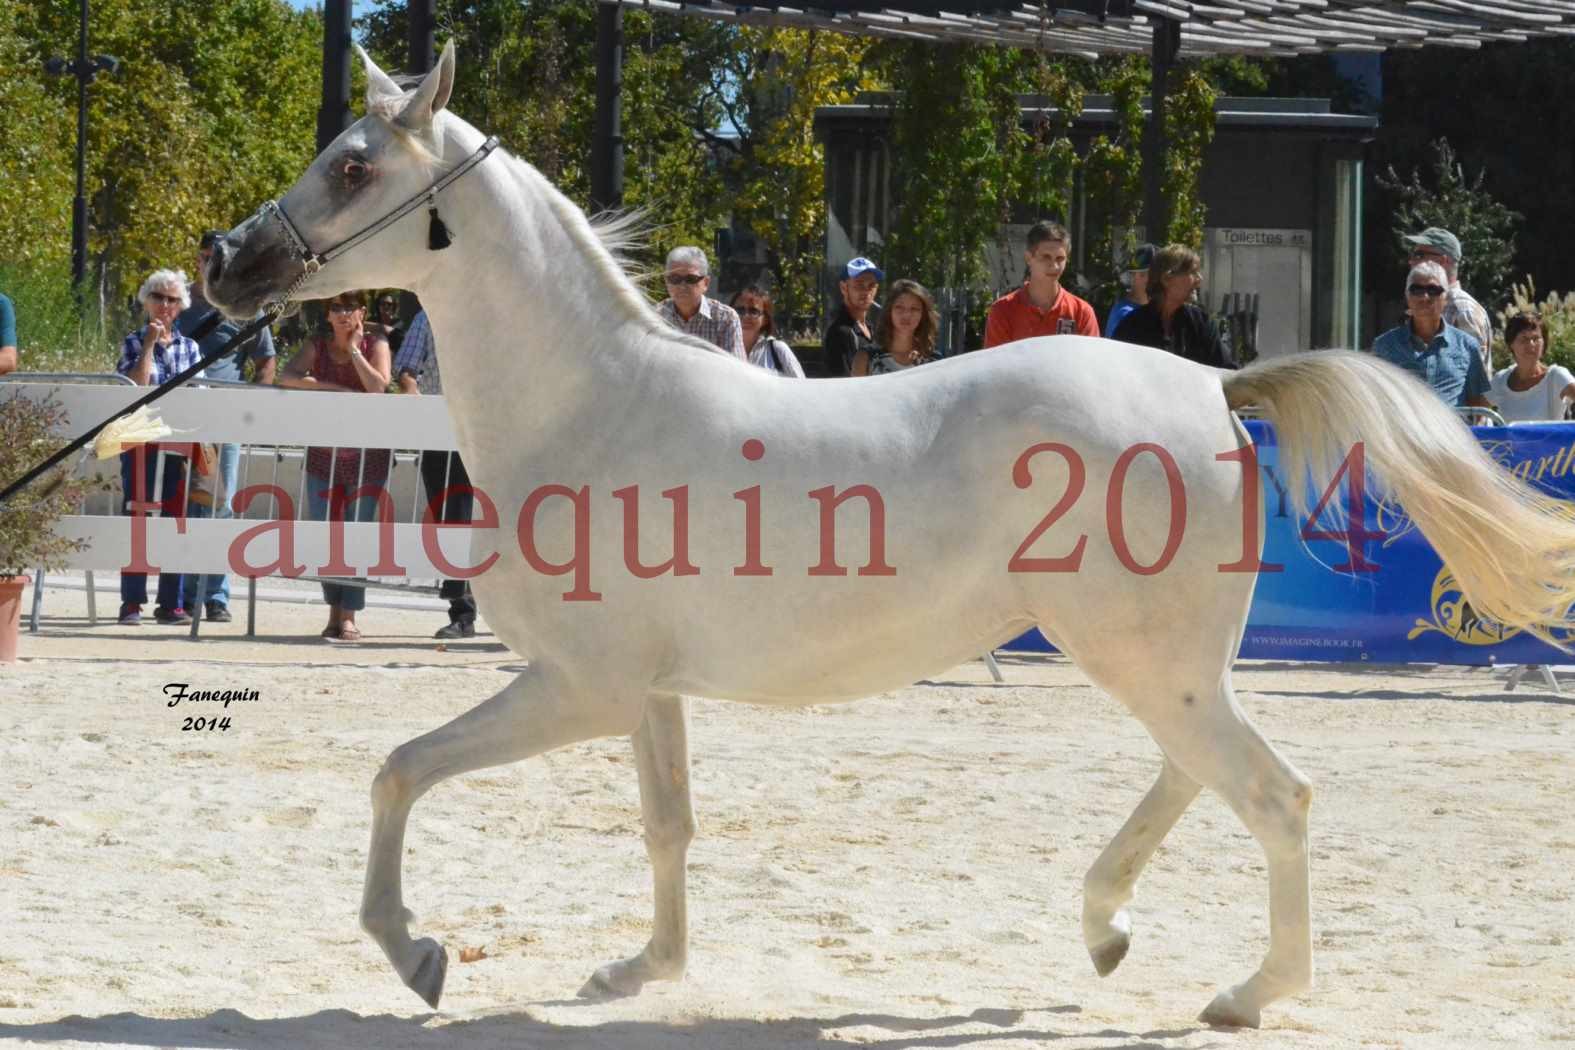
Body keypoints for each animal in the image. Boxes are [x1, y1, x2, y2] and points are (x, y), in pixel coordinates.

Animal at [206, 45, 1575, 1032]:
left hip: (1145, 658)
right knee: (1200, 779)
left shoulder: (578, 687)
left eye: (353, 168)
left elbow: (398, 772)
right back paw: (1105, 932)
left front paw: (420, 955)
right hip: (1163, 662)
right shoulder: (645, 694)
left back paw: (1242, 994)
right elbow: (668, 828)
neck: (593, 404)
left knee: (1274, 796)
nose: (225, 263)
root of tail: (1212, 385)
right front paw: (634, 975)